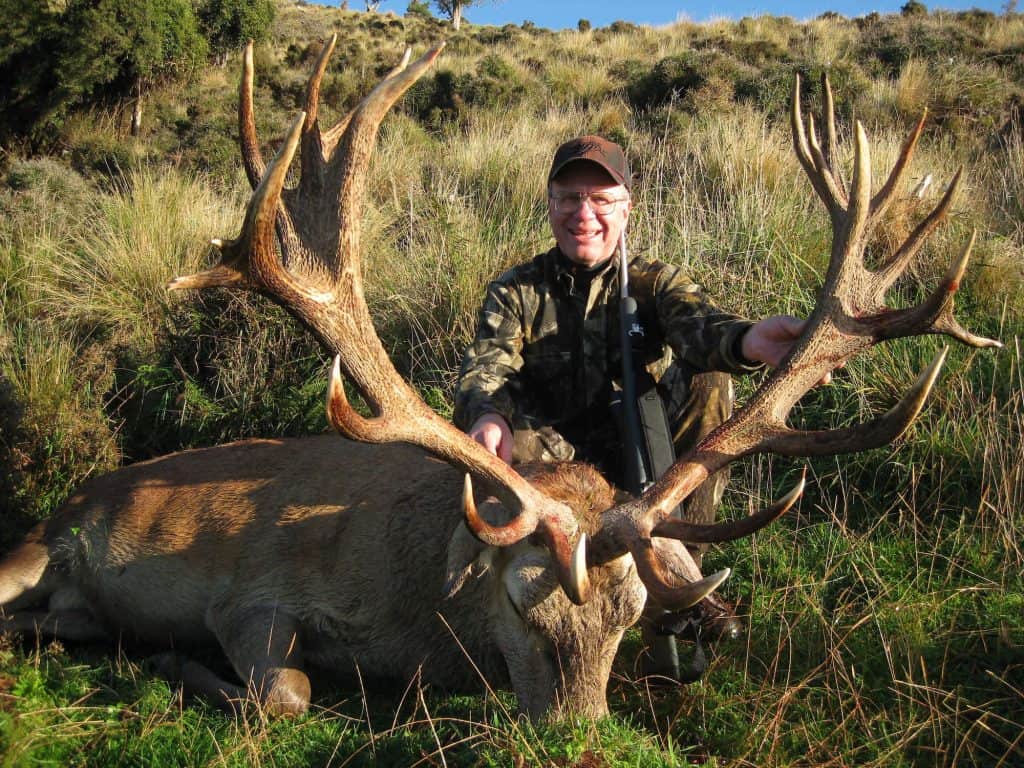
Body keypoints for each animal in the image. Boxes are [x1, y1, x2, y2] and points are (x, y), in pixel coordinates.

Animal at [0, 37, 1000, 720]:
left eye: (628, 619)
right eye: (521, 608)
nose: (579, 732)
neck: (418, 613)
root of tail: (70, 500)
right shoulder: (250, 594)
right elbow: (285, 690)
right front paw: (171, 663)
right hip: (33, 548)